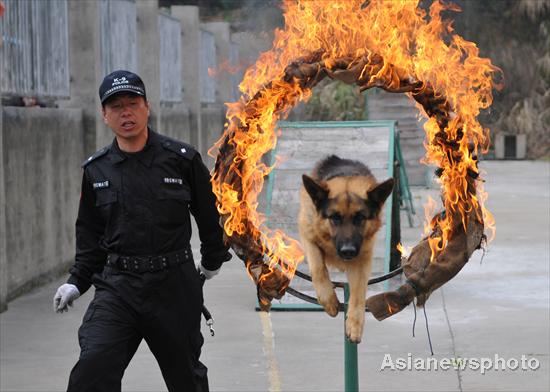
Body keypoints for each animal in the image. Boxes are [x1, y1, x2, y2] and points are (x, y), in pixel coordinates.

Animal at [300, 155, 394, 342]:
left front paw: (354, 324)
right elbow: (318, 268)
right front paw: (328, 299)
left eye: (360, 218)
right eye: (335, 218)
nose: (348, 251)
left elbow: (358, 294)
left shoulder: (361, 262)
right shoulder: (307, 235)